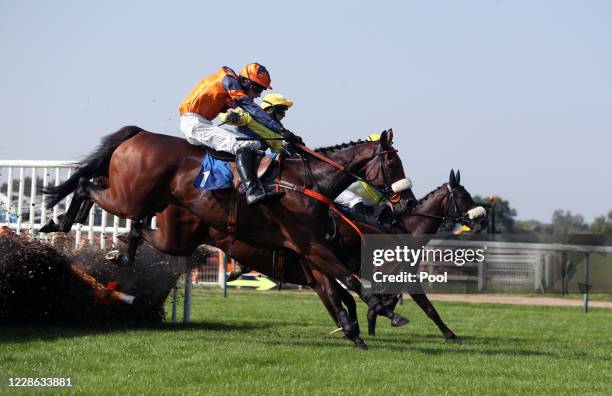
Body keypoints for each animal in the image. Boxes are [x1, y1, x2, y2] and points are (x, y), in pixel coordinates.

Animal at [43, 127, 416, 350]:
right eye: (392, 162)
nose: (408, 201)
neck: (308, 183)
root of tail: (139, 134)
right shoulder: (309, 245)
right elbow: (349, 281)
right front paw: (385, 313)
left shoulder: (308, 253)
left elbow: (338, 290)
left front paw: (357, 331)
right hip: (130, 197)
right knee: (86, 185)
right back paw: (61, 222)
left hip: (166, 227)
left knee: (129, 221)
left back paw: (111, 248)